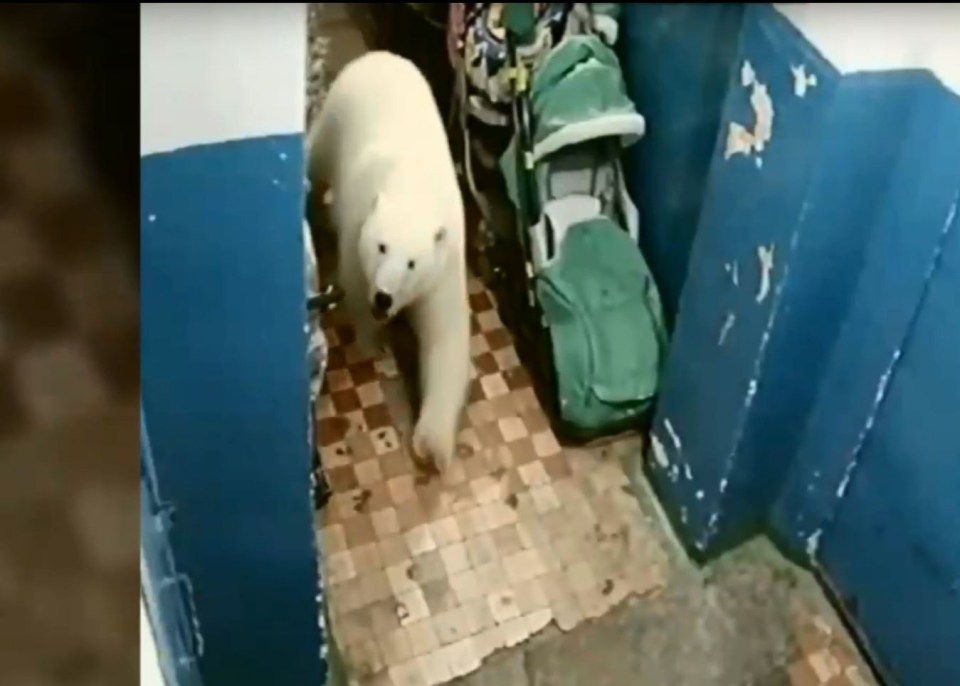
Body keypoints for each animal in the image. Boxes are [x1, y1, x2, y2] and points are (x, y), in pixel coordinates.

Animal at [308, 51, 472, 470]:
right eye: (381, 247)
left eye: (412, 263)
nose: (383, 297)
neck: (414, 190)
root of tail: (381, 56)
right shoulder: (358, 230)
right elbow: (353, 286)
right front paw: (373, 343)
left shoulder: (445, 262)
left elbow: (446, 338)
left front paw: (433, 445)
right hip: (338, 113)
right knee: (316, 158)